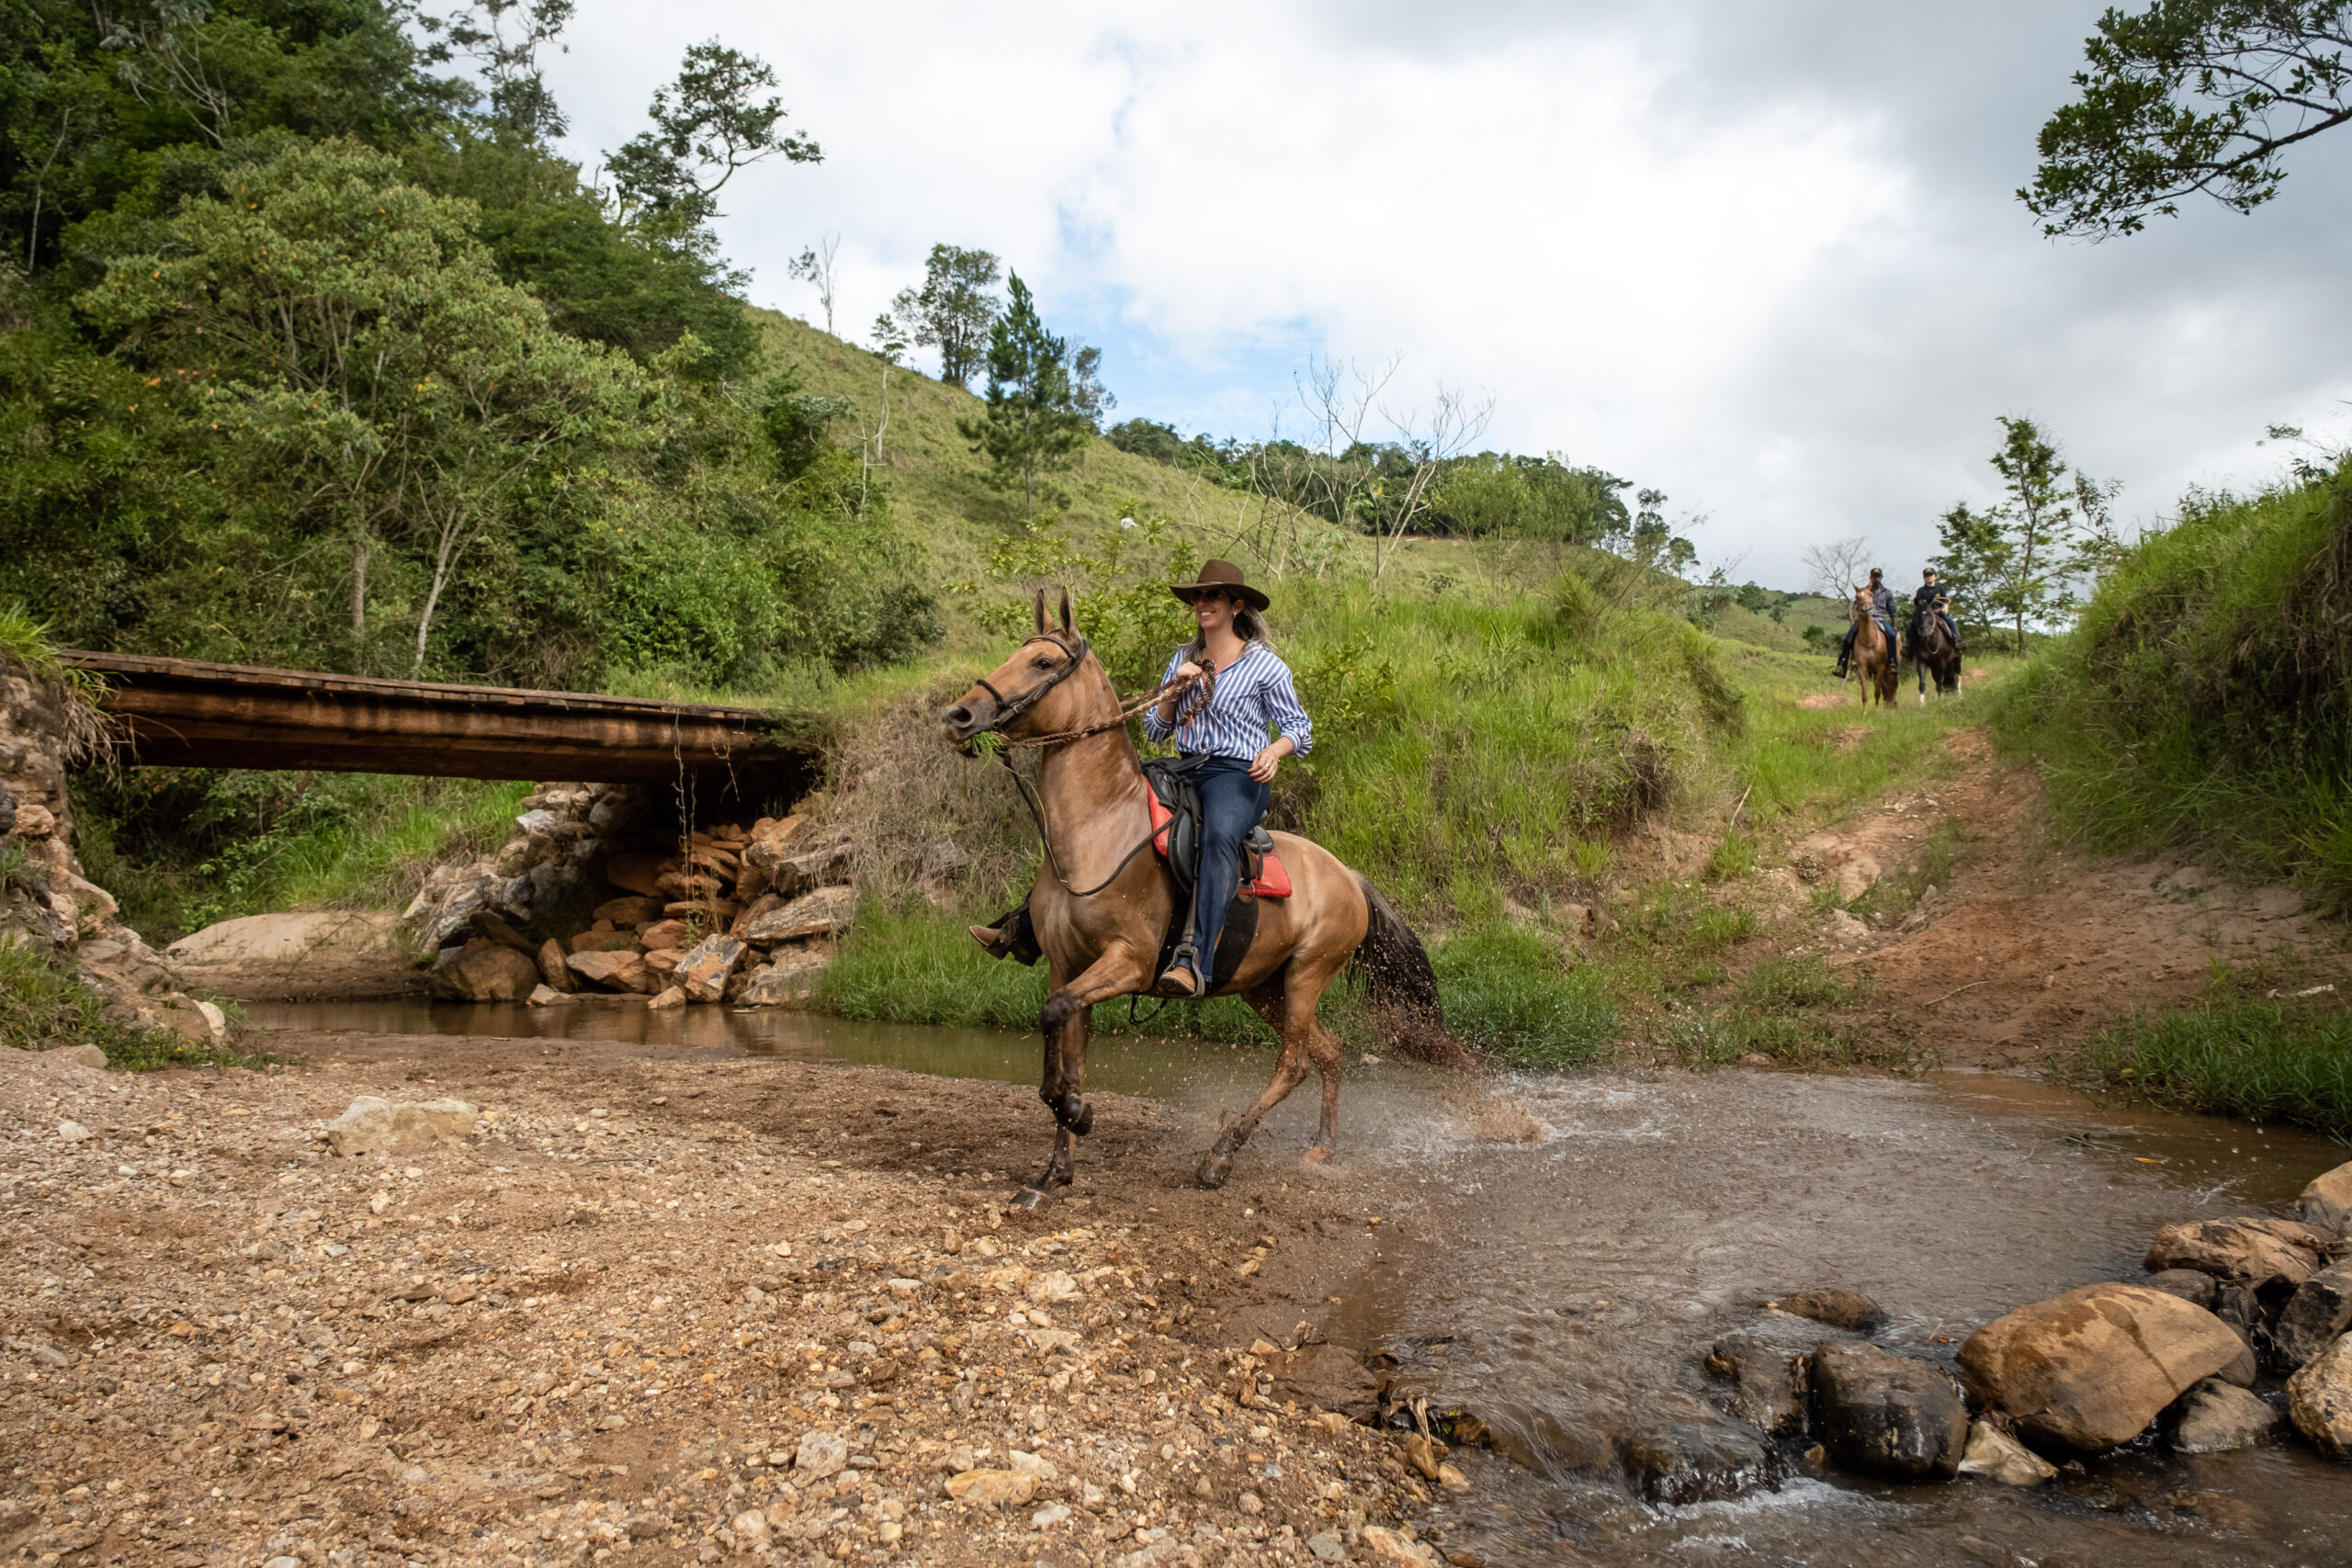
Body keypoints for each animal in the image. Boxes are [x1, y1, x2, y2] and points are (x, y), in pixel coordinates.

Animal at [940, 589, 1469, 1208]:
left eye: (1042, 663)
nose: (958, 716)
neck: (1100, 831)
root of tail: (1347, 876)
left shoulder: (1128, 961)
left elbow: (1057, 1025)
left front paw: (1079, 1115)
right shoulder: (1067, 967)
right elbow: (1067, 1049)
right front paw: (1055, 1170)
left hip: (1308, 975)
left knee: (1293, 1064)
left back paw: (1220, 1157)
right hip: (1266, 987)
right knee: (1330, 1051)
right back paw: (1322, 1148)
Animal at [1850, 584, 1899, 709]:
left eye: (1870, 594)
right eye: (1857, 597)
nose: (1866, 609)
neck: (1869, 640)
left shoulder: (1881, 668)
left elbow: (1877, 691)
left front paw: (1876, 709)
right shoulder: (1862, 668)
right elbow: (1865, 693)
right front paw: (1865, 711)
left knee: (1893, 684)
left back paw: (1893, 704)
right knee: (1886, 687)